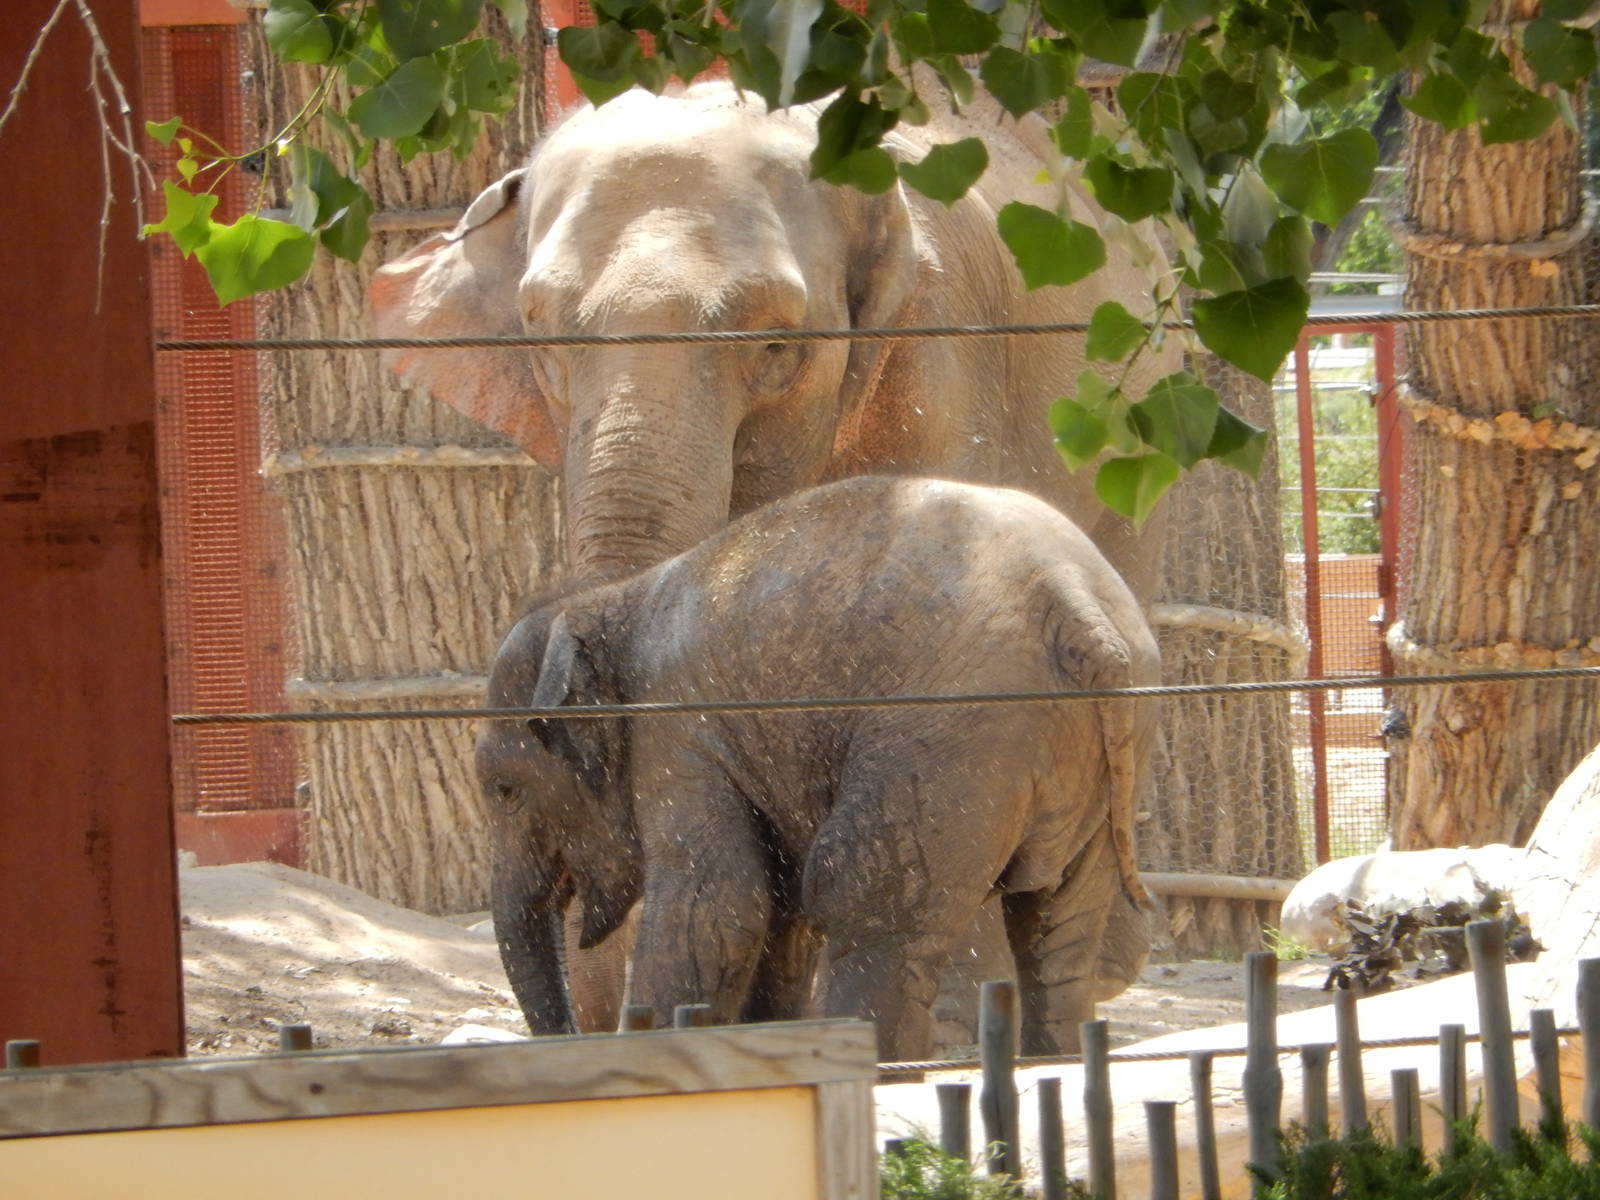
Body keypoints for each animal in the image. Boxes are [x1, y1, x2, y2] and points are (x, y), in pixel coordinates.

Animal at [475, 476, 1160, 1060]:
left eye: (504, 790)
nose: (565, 1040)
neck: (607, 601)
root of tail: (1078, 607)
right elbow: (778, 911)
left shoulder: (678, 733)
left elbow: (714, 911)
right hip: (1090, 756)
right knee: (1057, 926)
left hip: (953, 732)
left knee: (861, 891)